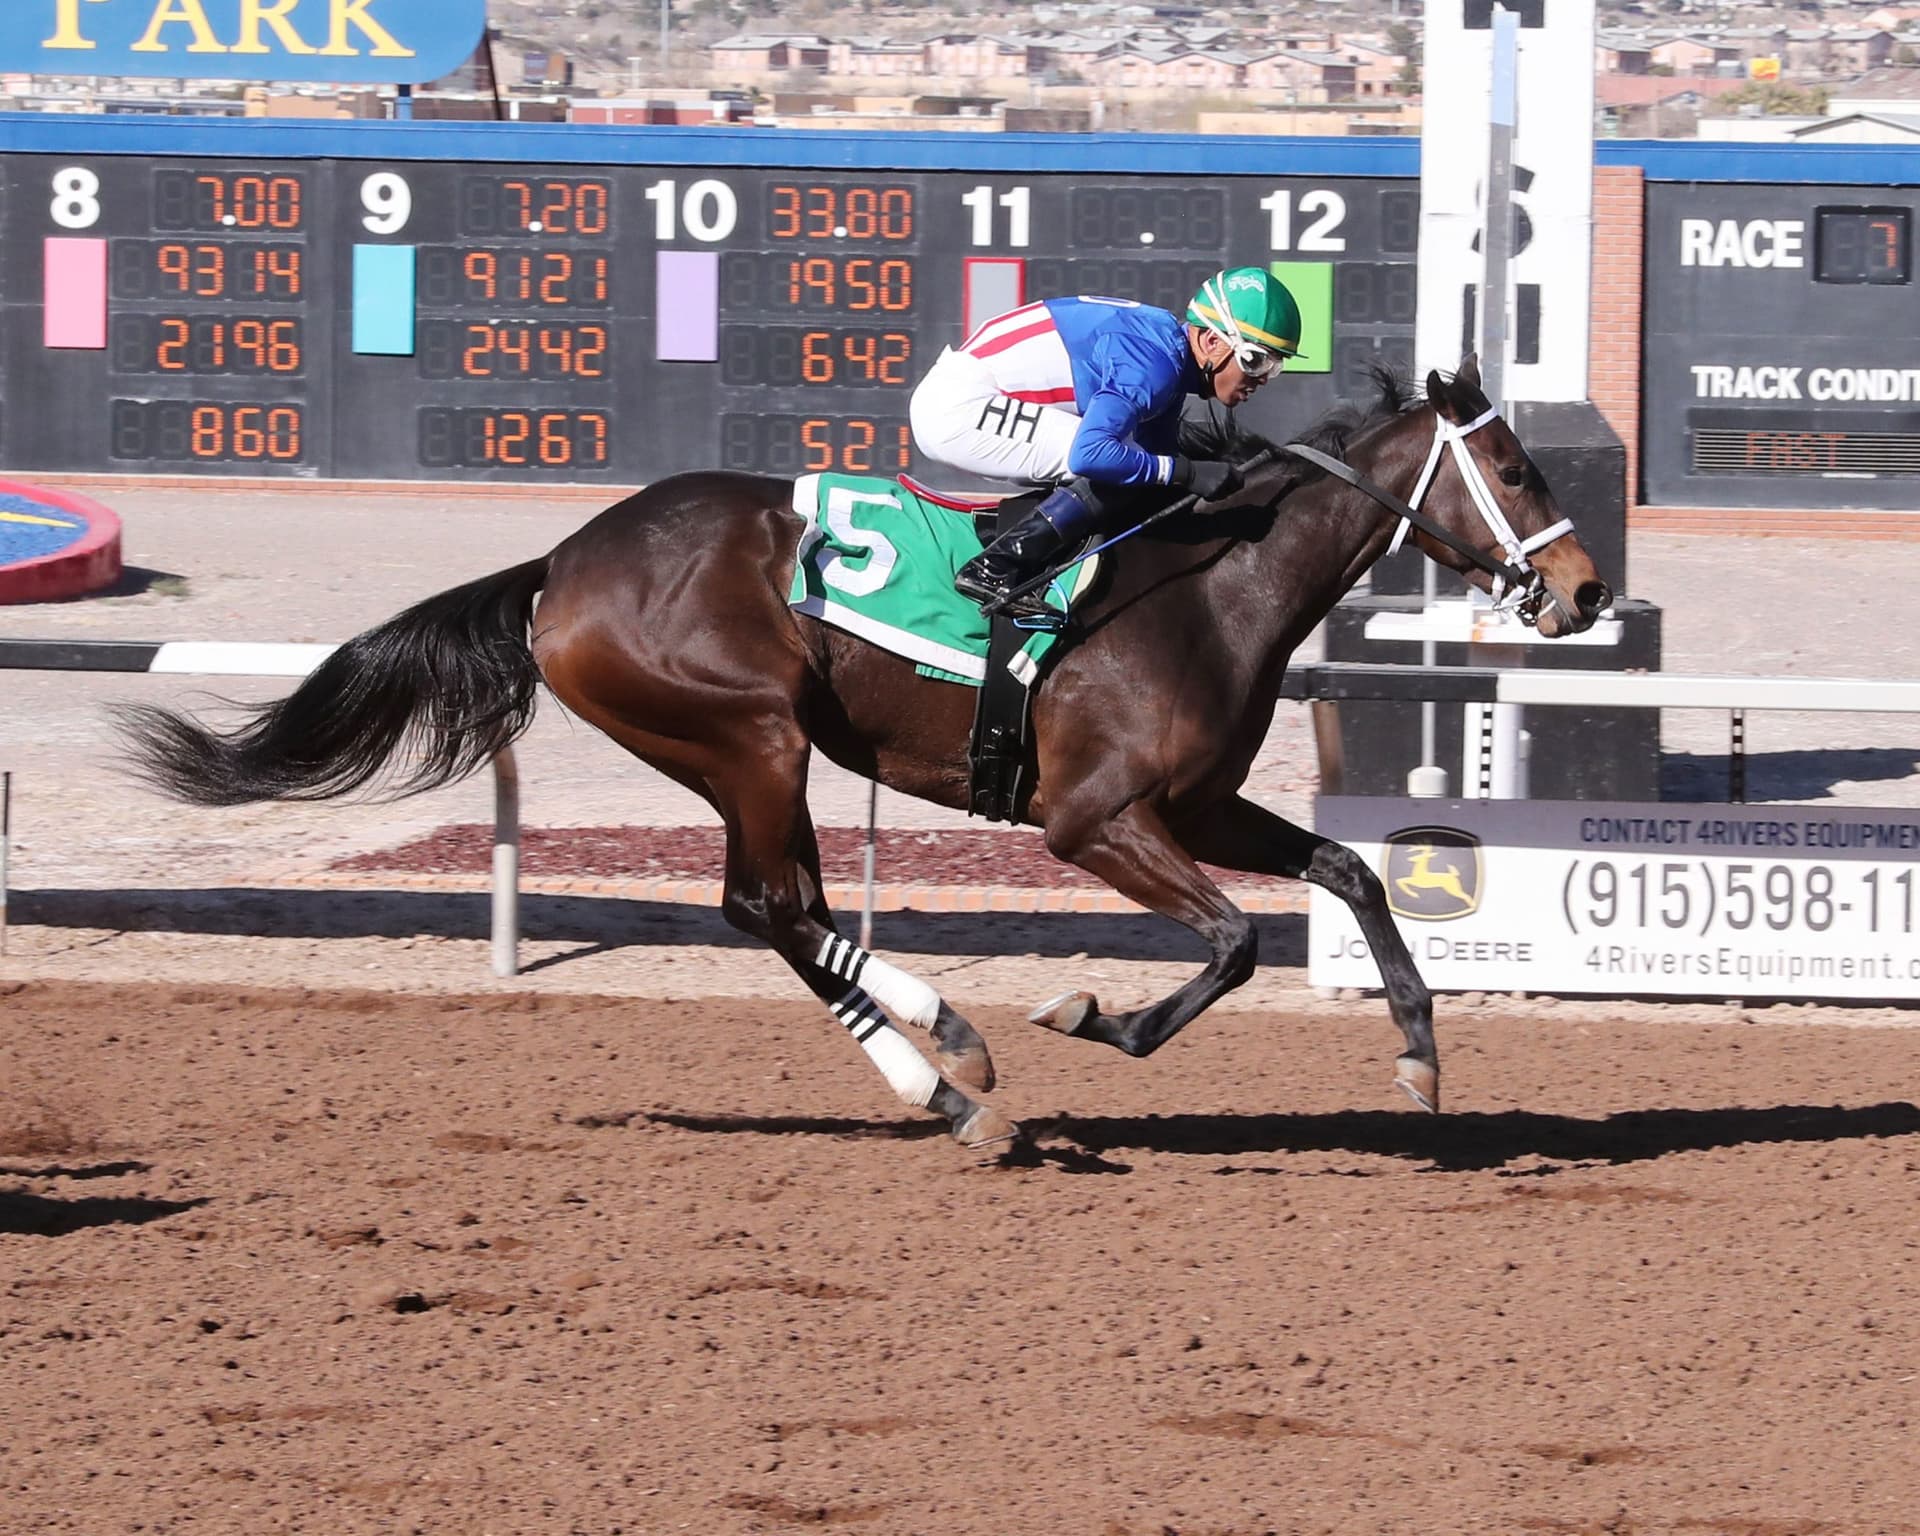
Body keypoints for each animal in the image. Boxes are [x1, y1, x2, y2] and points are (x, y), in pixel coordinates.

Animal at [118, 355, 1612, 1155]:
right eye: (1520, 471)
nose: (1587, 592)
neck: (1213, 585)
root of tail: (561, 566)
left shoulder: (1199, 804)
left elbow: (1351, 876)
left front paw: (1420, 1059)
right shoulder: (1092, 819)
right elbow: (1238, 943)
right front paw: (1094, 1016)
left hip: (745, 750)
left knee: (780, 910)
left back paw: (948, 1073)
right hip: (748, 731)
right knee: (770, 905)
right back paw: (952, 1063)